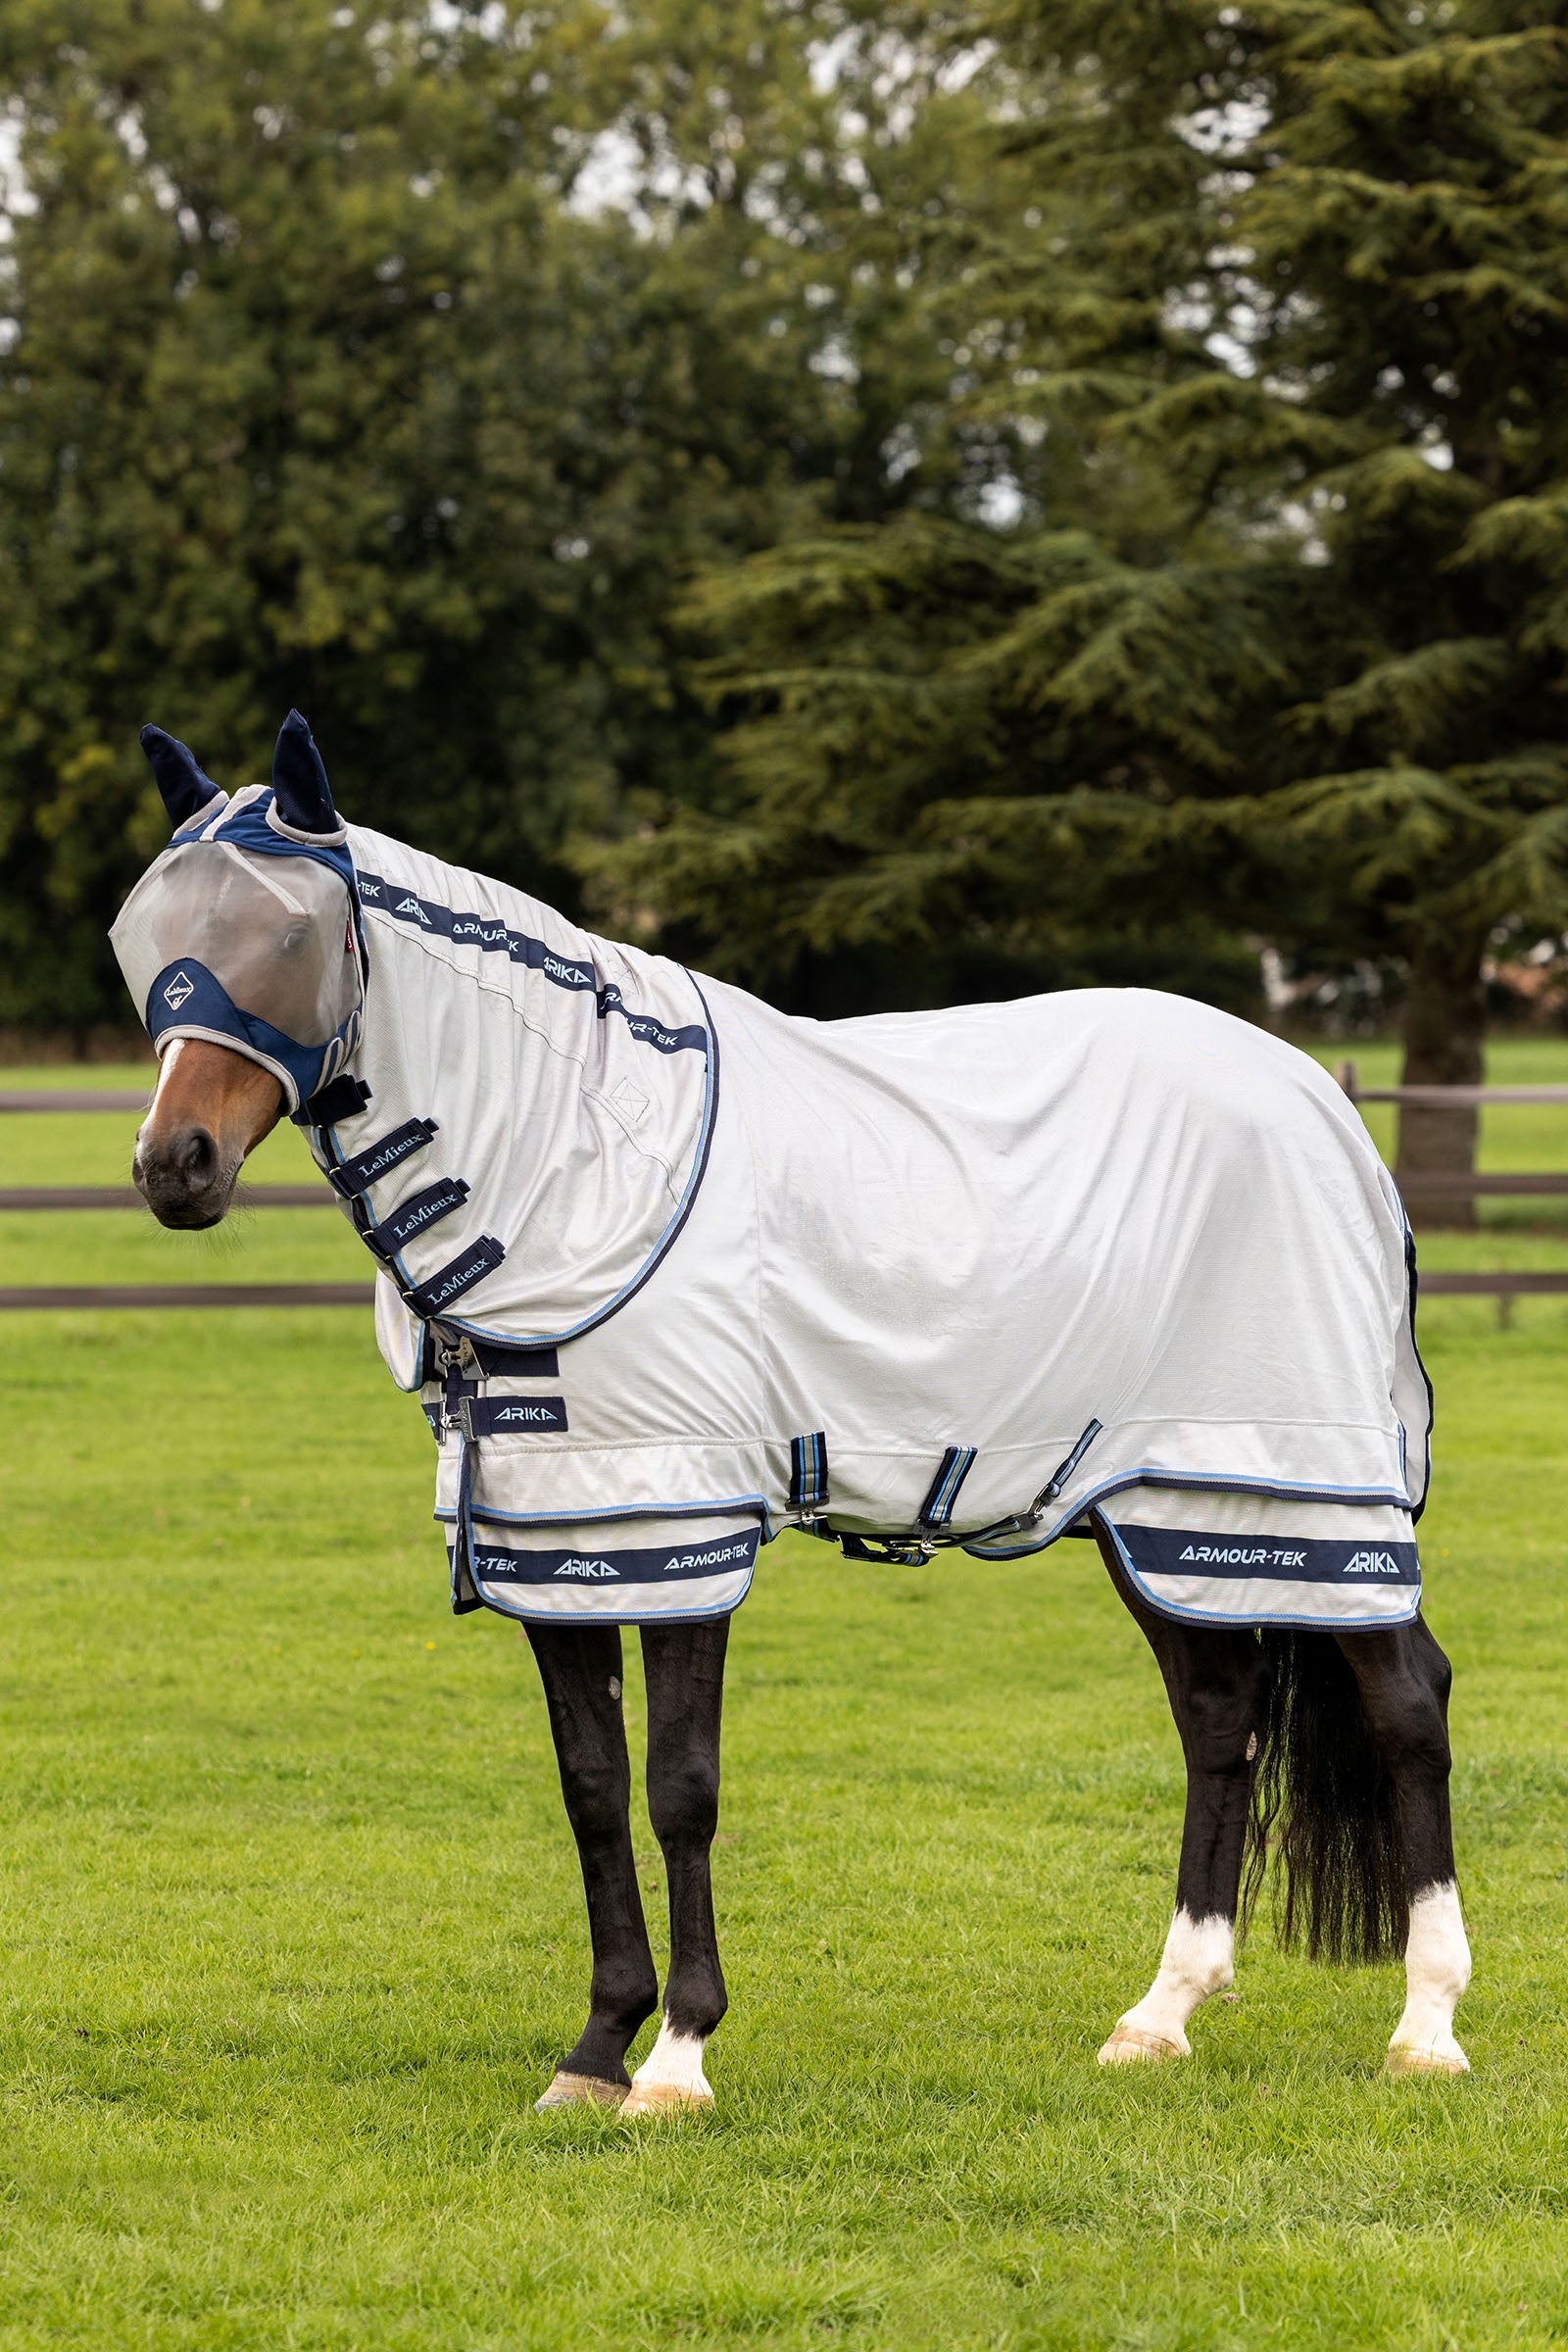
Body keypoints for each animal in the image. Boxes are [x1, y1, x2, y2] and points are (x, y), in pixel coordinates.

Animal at [114, 709, 1471, 2110]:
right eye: (142, 938)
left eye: (287, 937)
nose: (173, 1166)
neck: (580, 1168)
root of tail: (1325, 1110)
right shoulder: (555, 1540)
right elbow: (591, 1788)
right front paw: (593, 2053)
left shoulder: (677, 1530)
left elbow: (679, 1787)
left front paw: (677, 2058)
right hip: (1157, 1508)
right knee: (1218, 1720)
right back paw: (1161, 2014)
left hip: (1305, 1490)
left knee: (1406, 1703)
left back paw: (1424, 2029)